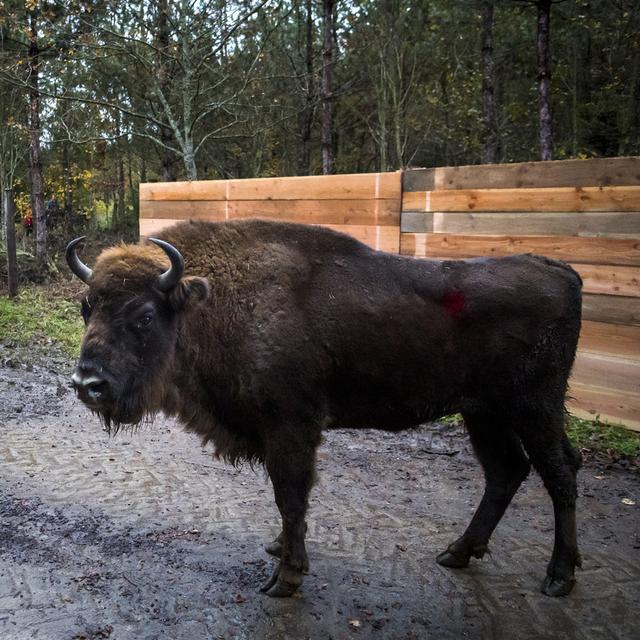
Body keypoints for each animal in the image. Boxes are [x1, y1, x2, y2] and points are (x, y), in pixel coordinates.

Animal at [67, 221, 584, 600]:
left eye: (144, 316)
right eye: (86, 308)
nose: (87, 384)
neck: (215, 303)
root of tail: (561, 271)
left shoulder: (291, 427)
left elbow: (291, 496)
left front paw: (287, 578)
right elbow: (290, 500)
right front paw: (279, 549)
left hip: (534, 407)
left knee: (559, 472)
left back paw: (559, 577)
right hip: (485, 413)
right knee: (506, 471)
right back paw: (457, 552)